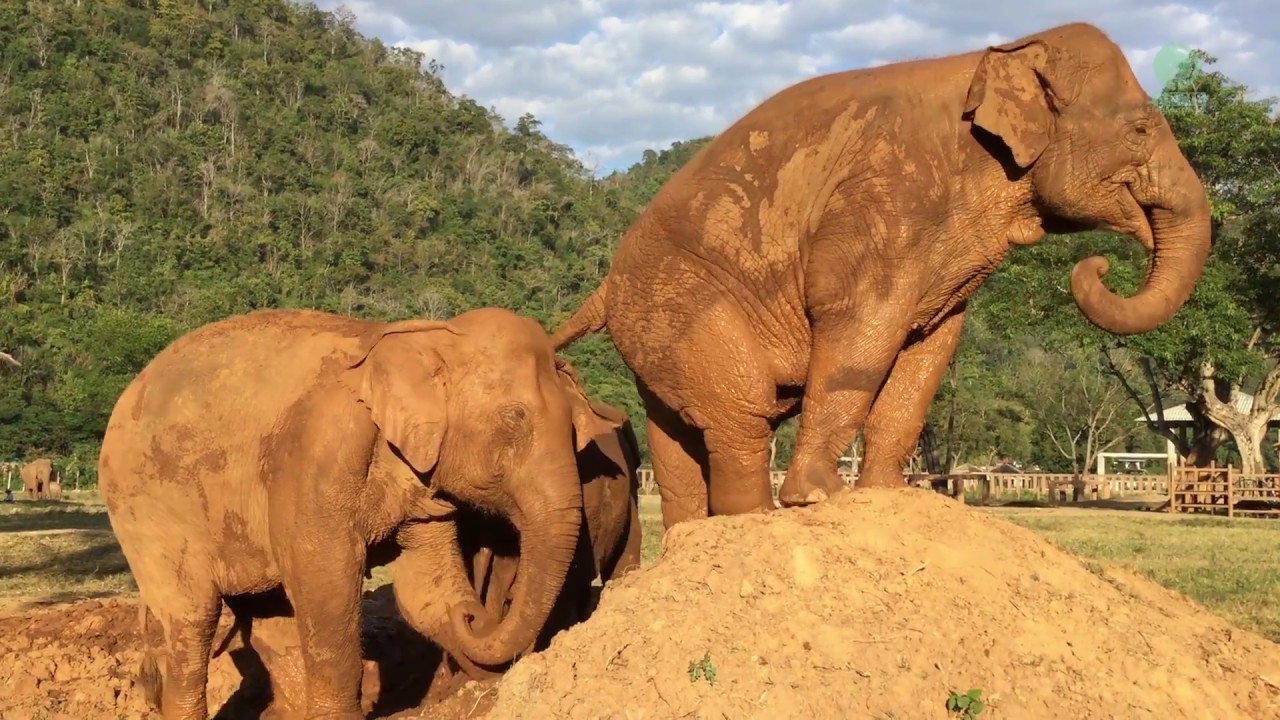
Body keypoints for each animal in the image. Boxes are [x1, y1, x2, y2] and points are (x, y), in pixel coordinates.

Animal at [98, 307, 621, 720]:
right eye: (515, 417)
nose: (476, 613)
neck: (423, 338)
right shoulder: (318, 454)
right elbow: (327, 580)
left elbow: (421, 587)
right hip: (145, 511)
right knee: (193, 617)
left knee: (269, 619)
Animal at [551, 22, 1211, 529]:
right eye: (1141, 130)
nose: (1098, 266)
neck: (996, 57)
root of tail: (607, 286)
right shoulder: (887, 196)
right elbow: (861, 322)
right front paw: (818, 496)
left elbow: (931, 346)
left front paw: (890, 491)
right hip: (681, 306)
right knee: (741, 413)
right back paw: (753, 520)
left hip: (654, 341)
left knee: (677, 443)